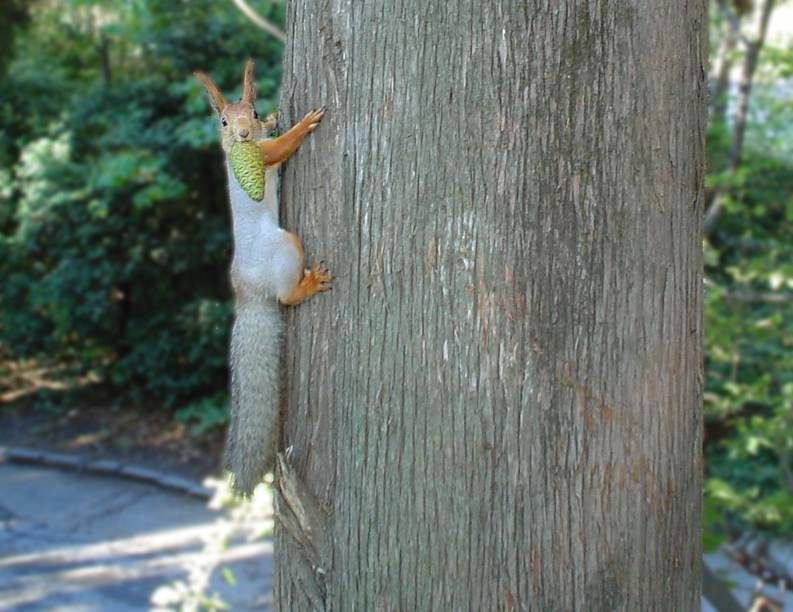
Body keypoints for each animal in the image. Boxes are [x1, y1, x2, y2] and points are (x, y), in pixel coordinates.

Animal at [195, 60, 331, 495]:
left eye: (251, 113)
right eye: (223, 120)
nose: (242, 133)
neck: (238, 148)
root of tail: (248, 292)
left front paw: (276, 118)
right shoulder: (260, 156)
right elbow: (280, 146)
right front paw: (304, 123)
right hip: (286, 246)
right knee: (285, 297)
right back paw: (308, 285)